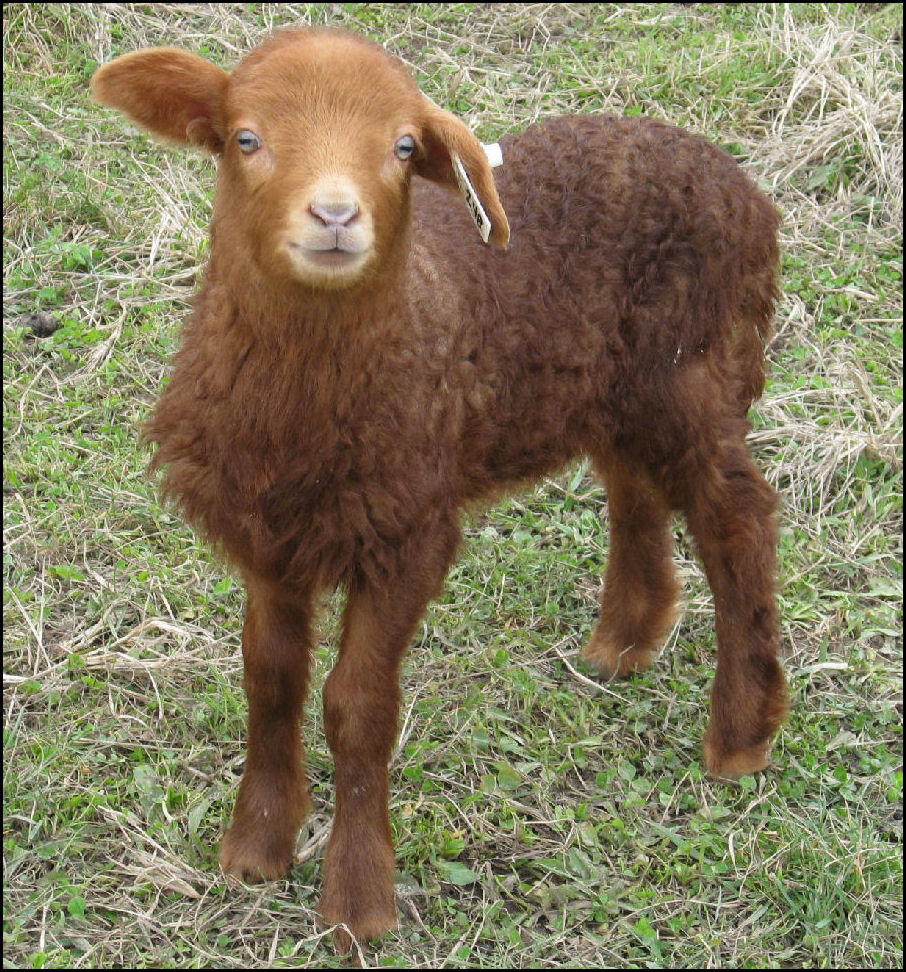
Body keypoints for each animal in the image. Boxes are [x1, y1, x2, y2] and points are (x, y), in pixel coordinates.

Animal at [91, 26, 788, 949]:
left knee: (737, 517)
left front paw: (357, 901)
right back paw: (627, 639)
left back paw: (742, 731)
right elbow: (269, 678)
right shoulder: (269, 532)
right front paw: (256, 848)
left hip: (693, 369)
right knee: (635, 487)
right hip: (615, 387)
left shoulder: (407, 531)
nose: (336, 216)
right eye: (245, 139)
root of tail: (744, 189)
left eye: (402, 148)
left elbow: (356, 706)